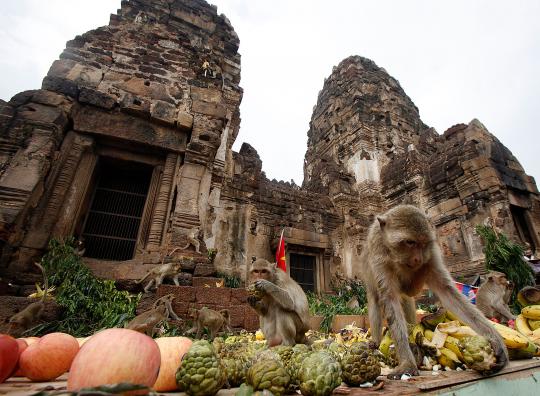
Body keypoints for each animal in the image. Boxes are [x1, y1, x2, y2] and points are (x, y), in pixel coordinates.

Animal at [356, 206, 508, 378]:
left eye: (423, 243)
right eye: (410, 242)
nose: (418, 260)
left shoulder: (431, 254)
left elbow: (447, 291)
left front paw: (496, 341)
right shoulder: (379, 257)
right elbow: (389, 299)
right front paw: (407, 362)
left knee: (407, 298)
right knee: (376, 299)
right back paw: (376, 341)